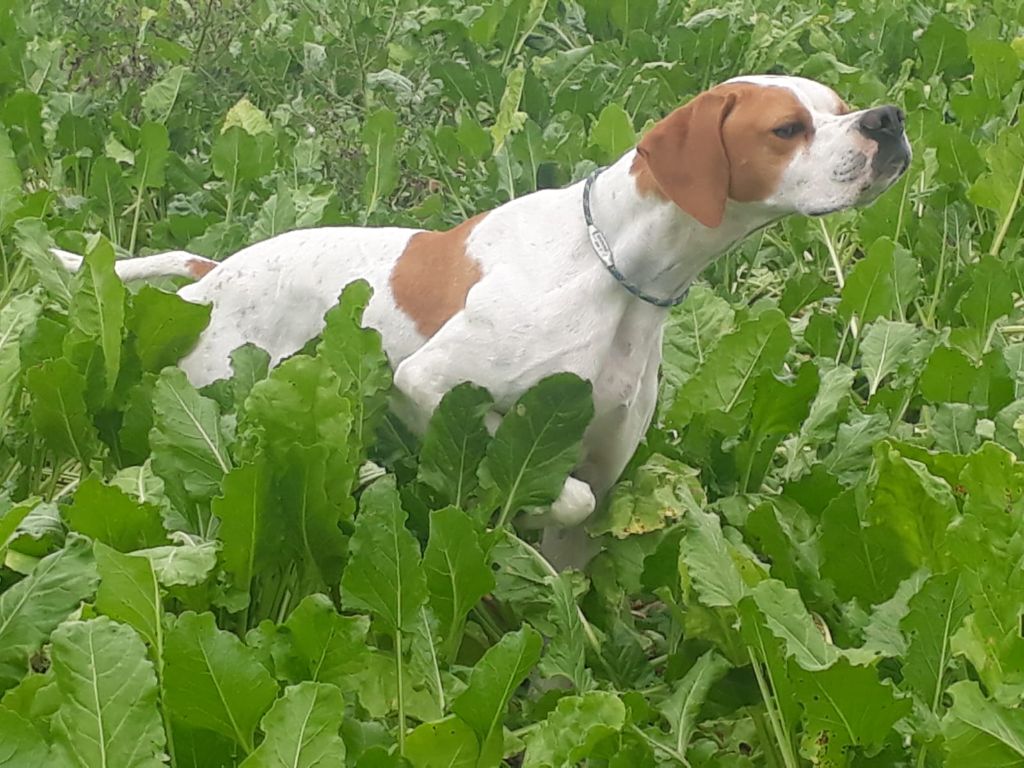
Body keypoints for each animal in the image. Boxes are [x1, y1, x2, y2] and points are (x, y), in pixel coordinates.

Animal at [58, 75, 905, 569]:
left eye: (840, 109)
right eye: (788, 128)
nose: (889, 118)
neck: (615, 268)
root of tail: (213, 274)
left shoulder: (606, 458)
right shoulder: (431, 384)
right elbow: (556, 487)